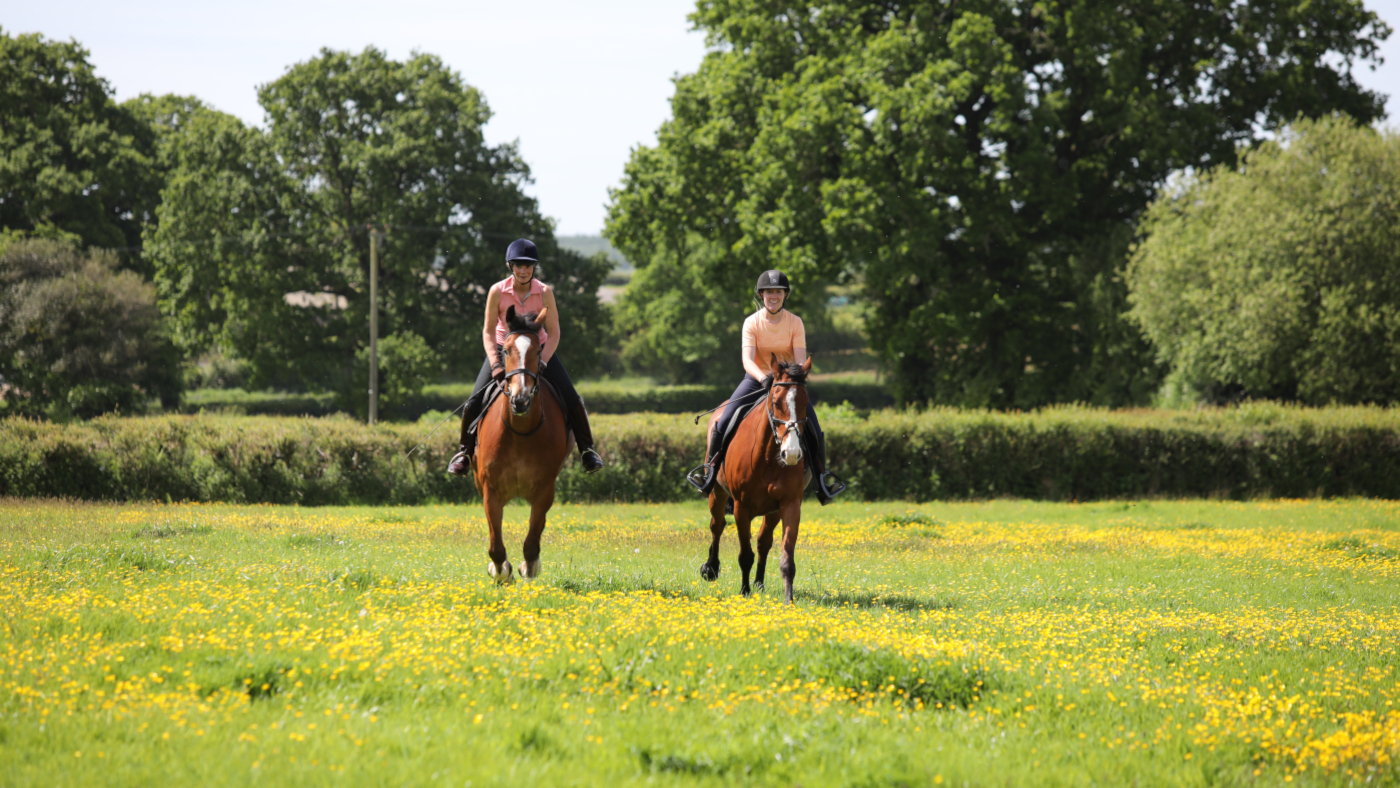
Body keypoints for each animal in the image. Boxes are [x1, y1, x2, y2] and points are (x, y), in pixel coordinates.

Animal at [472, 306, 573, 583]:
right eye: (505, 350)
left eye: (538, 351)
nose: (520, 399)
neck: (520, 431)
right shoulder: (491, 490)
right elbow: (495, 543)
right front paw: (500, 571)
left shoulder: (544, 490)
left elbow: (532, 539)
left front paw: (528, 567)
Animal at [700, 355, 812, 603]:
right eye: (776, 402)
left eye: (804, 403)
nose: (791, 454)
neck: (768, 457)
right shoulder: (741, 507)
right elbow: (745, 555)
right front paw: (744, 591)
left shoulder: (790, 505)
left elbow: (786, 558)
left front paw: (788, 599)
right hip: (717, 493)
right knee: (717, 526)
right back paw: (711, 568)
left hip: (773, 511)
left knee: (763, 541)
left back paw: (760, 583)